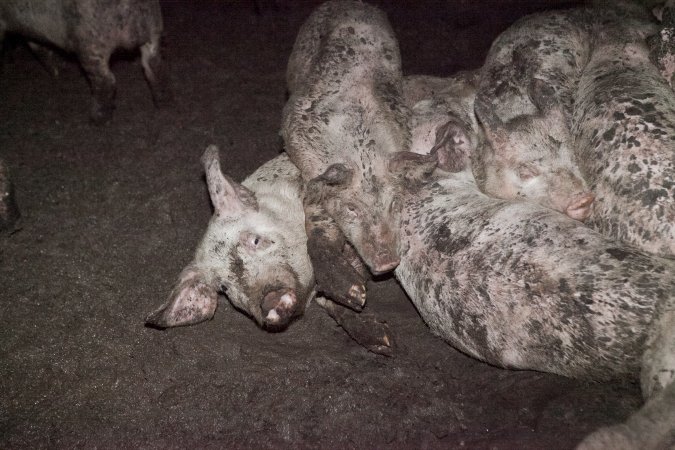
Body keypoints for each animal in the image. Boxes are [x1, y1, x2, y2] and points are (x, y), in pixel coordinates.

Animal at [0, 0, 171, 124]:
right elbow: (38, 47)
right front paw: (56, 72)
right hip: (153, 29)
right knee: (154, 66)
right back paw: (162, 100)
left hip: (91, 42)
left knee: (106, 82)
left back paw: (98, 118)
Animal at [281, 1, 436, 308]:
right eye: (352, 208)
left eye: (394, 203)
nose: (387, 263)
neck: (361, 152)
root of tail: (347, 3)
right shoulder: (309, 167)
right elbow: (316, 225)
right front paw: (354, 294)